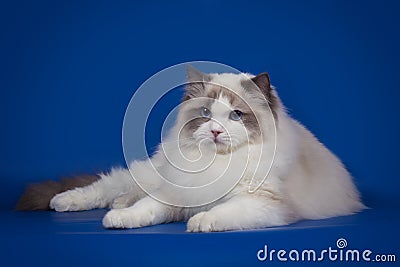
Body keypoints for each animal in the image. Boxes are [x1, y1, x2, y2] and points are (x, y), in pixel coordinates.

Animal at [16, 66, 366, 232]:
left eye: (235, 115)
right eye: (206, 114)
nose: (215, 131)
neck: (216, 164)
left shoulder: (262, 204)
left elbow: (223, 212)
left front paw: (199, 222)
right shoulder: (177, 194)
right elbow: (145, 209)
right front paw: (120, 220)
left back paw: (116, 204)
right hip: (151, 173)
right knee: (108, 187)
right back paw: (68, 202)